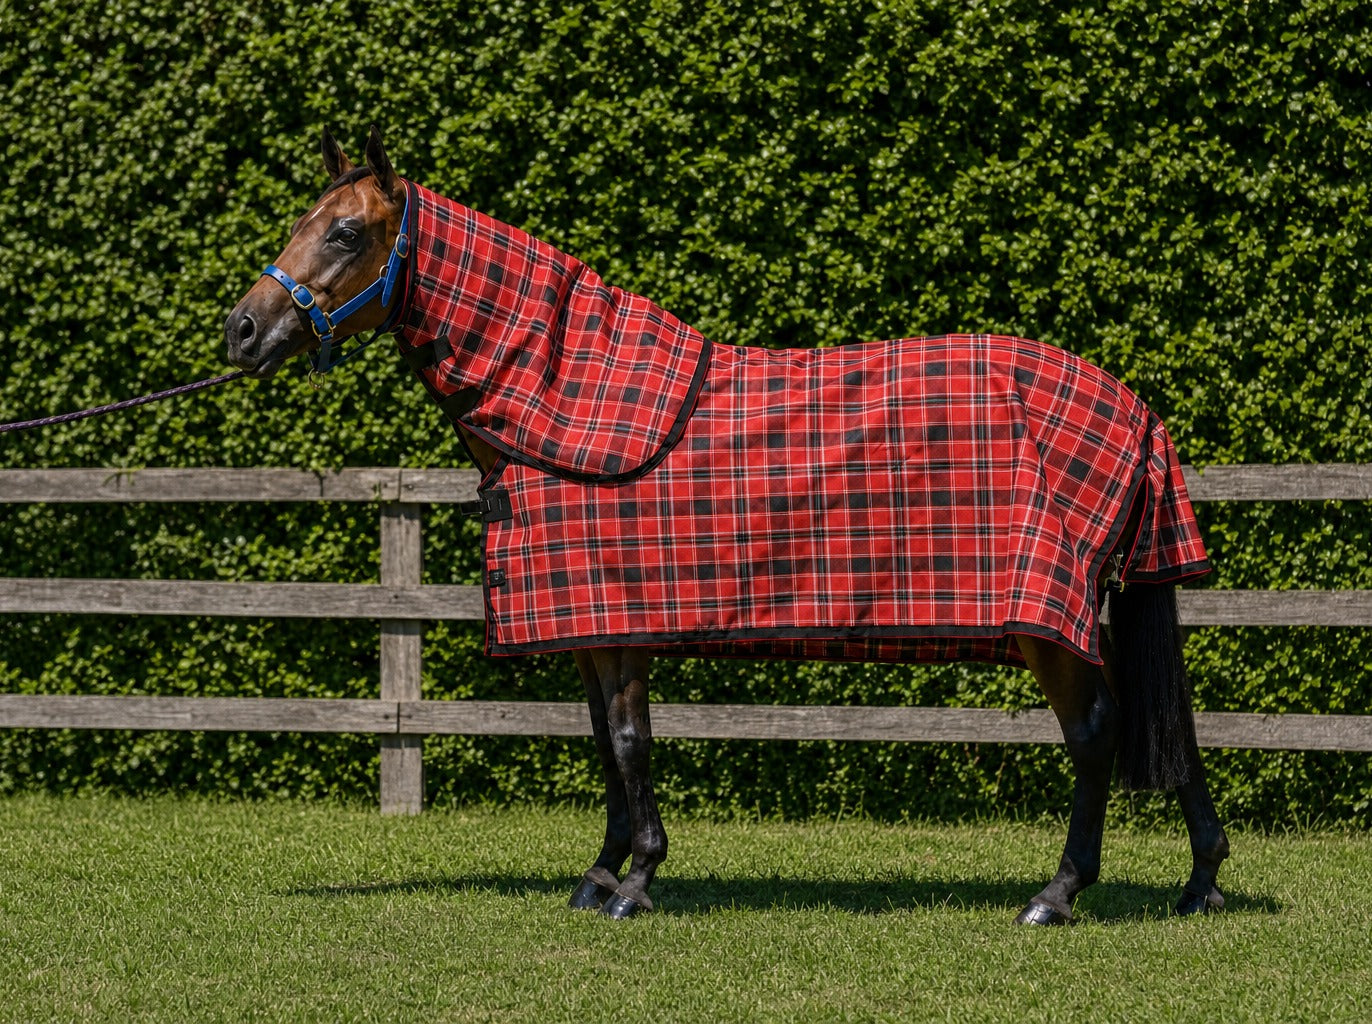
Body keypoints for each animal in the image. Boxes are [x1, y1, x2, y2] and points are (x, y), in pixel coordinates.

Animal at [225, 126, 1229, 924]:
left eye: (345, 231)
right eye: (302, 222)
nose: (242, 330)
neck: (565, 400)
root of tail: (1135, 409)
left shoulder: (622, 623)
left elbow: (630, 740)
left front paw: (636, 884)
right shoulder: (593, 627)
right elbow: (605, 743)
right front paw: (600, 873)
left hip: (1045, 623)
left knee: (1095, 731)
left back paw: (1057, 894)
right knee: (1159, 721)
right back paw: (1203, 881)